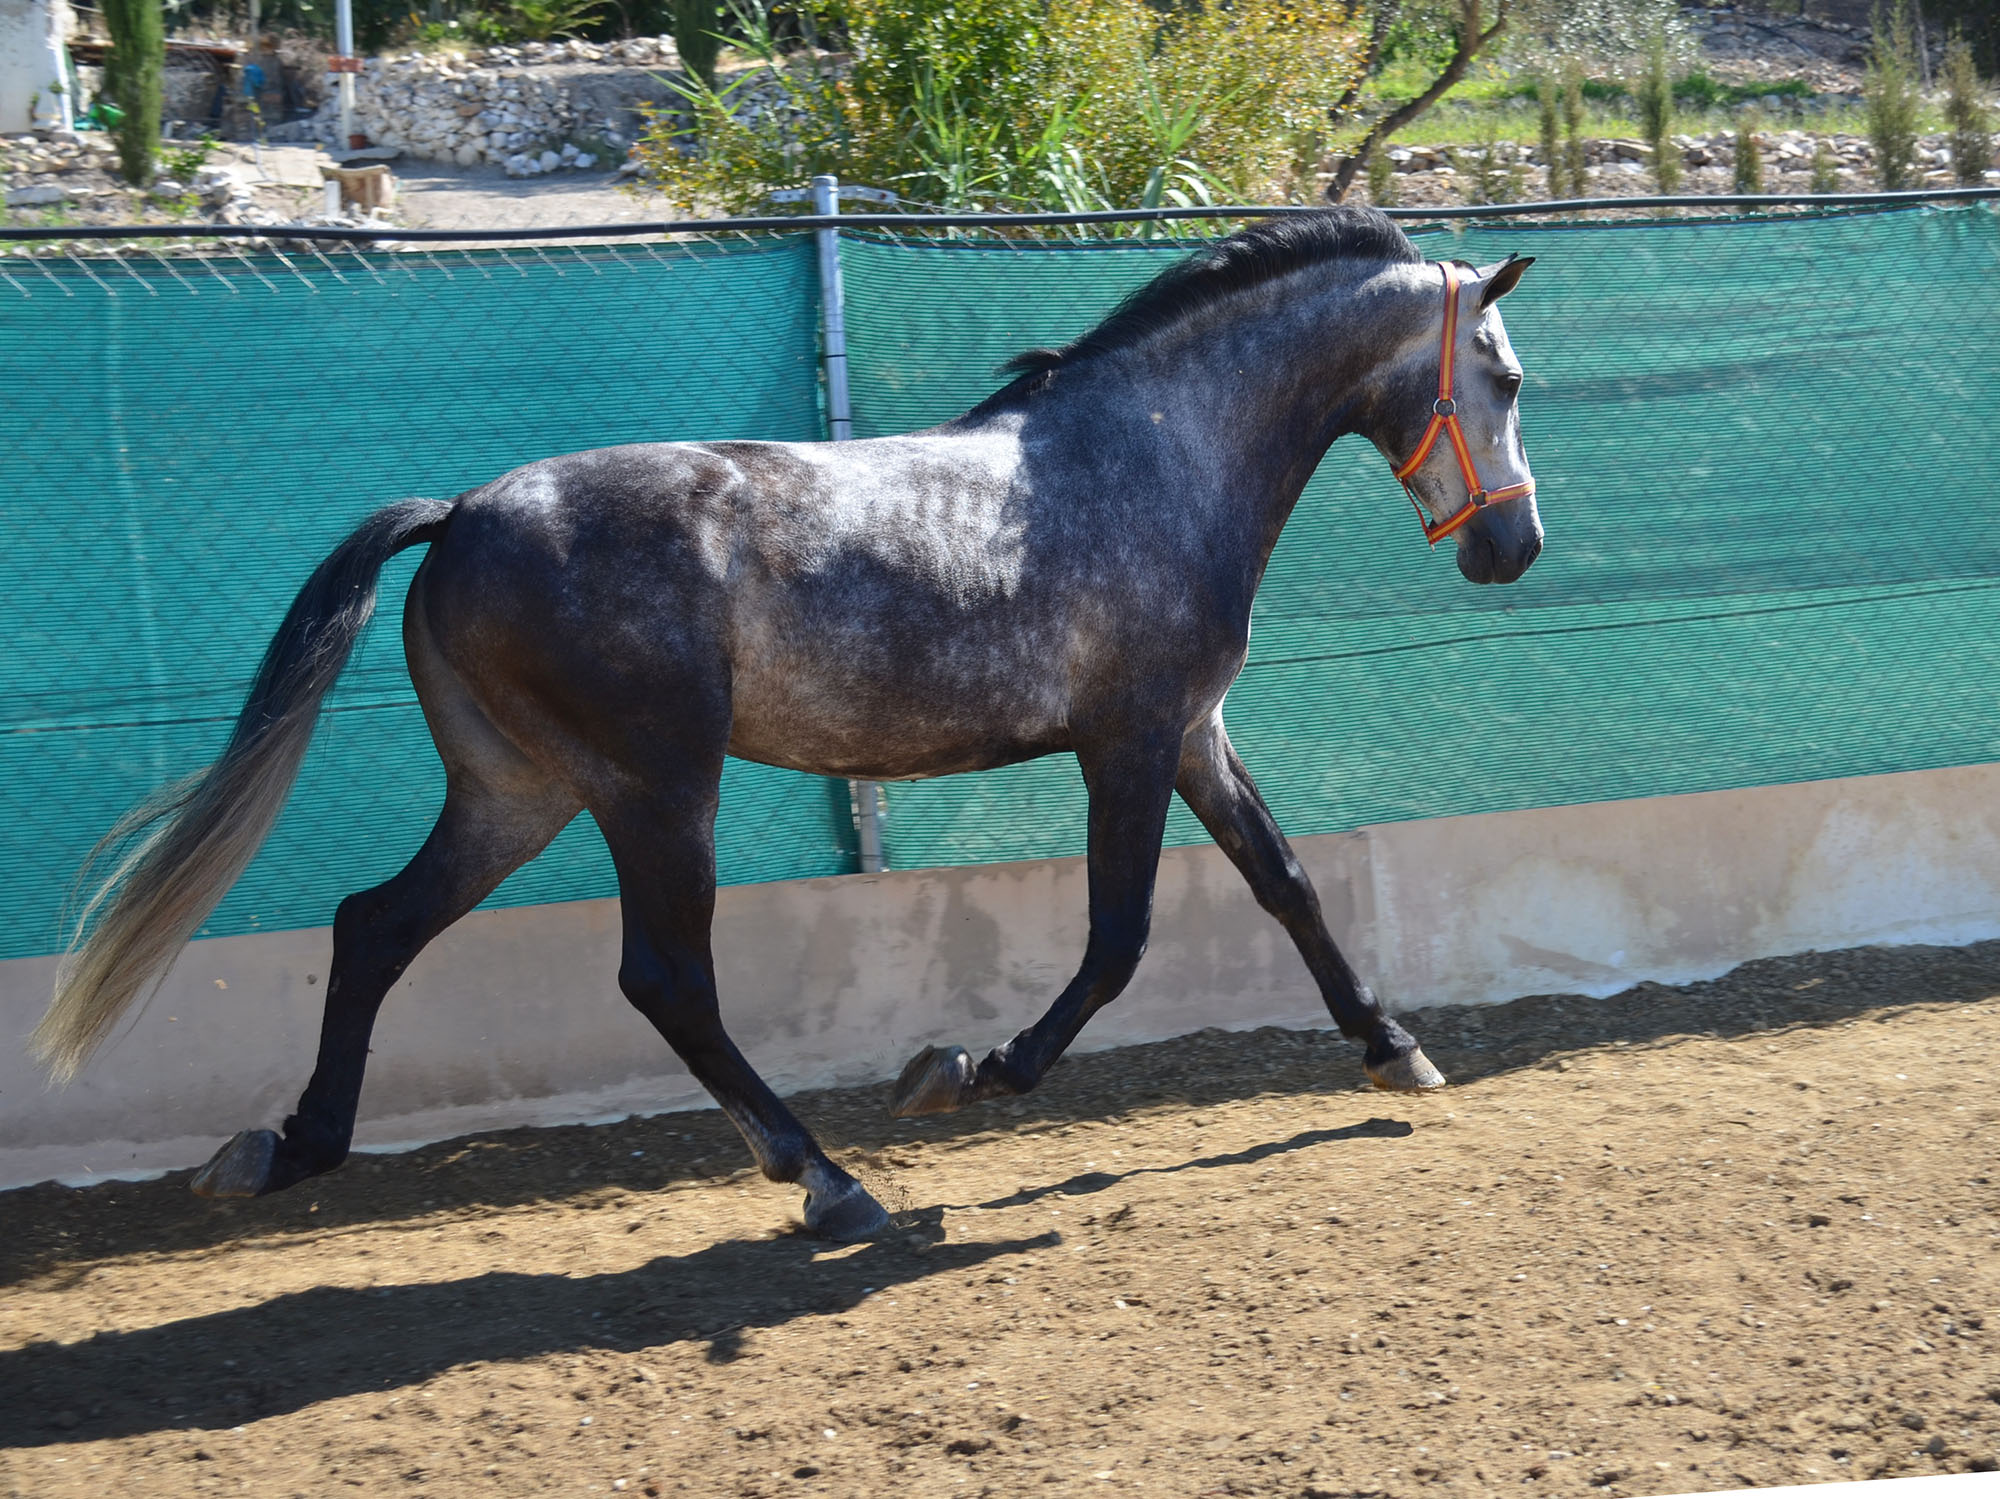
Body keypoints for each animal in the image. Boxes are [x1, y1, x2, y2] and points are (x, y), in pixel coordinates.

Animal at [31, 211, 1536, 1247]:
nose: (1512, 547)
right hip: (654, 789)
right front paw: (965, 1068)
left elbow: (1286, 881)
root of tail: (459, 513)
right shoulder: (1128, 735)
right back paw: (828, 1177)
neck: (1154, 458)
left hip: (518, 790)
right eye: (1508, 379)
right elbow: (1117, 938)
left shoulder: (1190, 733)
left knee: (373, 925)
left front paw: (1397, 1048)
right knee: (662, 978)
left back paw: (284, 1147)